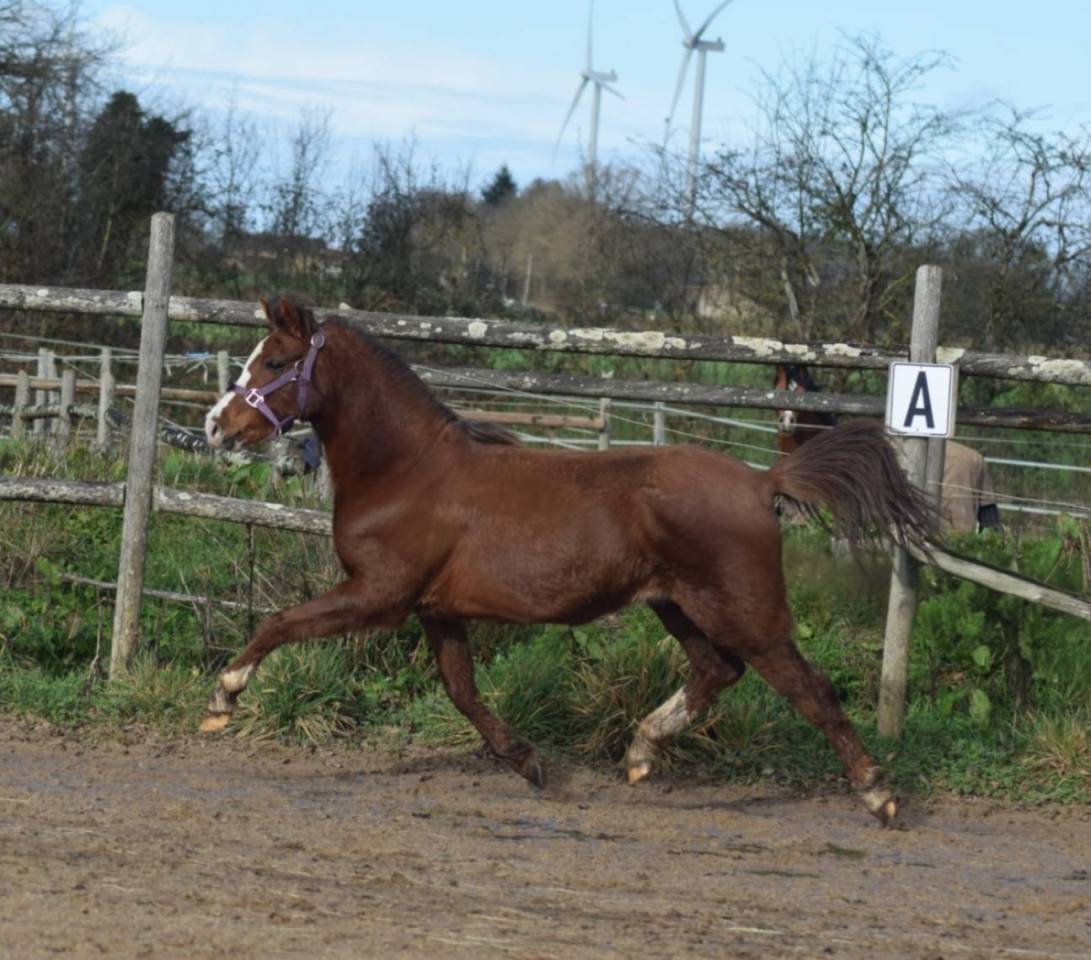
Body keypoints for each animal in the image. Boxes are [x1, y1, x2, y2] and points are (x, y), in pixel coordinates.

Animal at [201, 296, 934, 825]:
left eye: (274, 363)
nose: (215, 426)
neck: (405, 472)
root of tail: (762, 482)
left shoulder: (379, 594)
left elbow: (278, 623)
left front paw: (223, 698)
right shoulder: (436, 610)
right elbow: (463, 692)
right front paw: (528, 763)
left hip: (745, 611)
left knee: (808, 689)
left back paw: (877, 794)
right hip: (678, 605)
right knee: (715, 672)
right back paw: (639, 752)